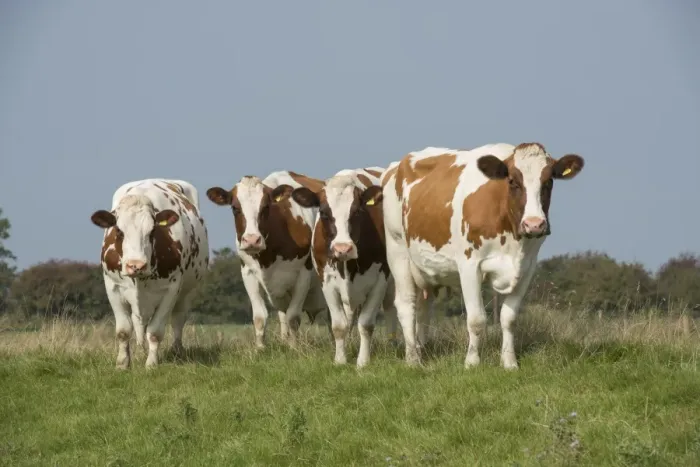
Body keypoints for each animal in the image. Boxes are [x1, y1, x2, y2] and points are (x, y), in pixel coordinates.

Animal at [90, 179, 210, 369]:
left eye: (152, 231)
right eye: (119, 231)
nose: (136, 265)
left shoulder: (171, 289)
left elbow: (155, 332)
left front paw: (151, 364)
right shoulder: (112, 287)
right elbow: (123, 331)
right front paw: (122, 364)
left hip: (188, 292)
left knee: (178, 320)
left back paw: (177, 351)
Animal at [206, 171, 329, 349]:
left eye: (265, 207)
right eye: (235, 208)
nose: (252, 240)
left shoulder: (303, 274)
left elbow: (293, 317)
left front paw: (294, 348)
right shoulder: (248, 272)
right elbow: (260, 317)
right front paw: (260, 348)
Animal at [291, 167, 397, 367]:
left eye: (357, 211)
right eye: (323, 212)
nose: (343, 249)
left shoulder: (380, 281)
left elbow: (366, 324)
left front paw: (362, 361)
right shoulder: (326, 282)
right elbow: (339, 325)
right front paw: (340, 359)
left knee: (391, 308)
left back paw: (394, 344)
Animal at [381, 143, 584, 368]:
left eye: (549, 181)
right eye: (512, 181)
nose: (534, 224)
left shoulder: (527, 267)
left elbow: (509, 318)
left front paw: (509, 362)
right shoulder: (469, 265)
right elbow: (477, 319)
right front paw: (472, 362)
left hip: (425, 269)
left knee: (424, 306)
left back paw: (422, 349)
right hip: (398, 251)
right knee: (406, 305)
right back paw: (413, 359)